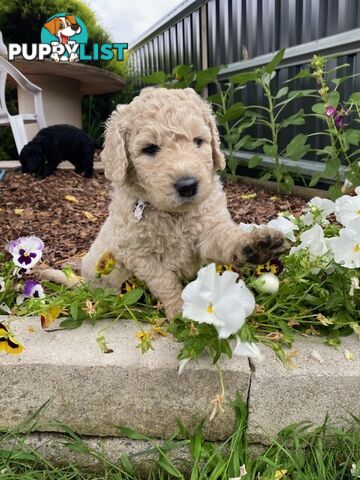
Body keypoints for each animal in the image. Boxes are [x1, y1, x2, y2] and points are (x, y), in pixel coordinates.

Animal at [82, 87, 284, 318]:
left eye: (198, 141)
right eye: (149, 149)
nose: (187, 185)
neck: (175, 215)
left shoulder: (208, 230)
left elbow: (224, 238)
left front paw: (254, 244)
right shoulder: (138, 253)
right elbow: (164, 281)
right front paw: (179, 312)